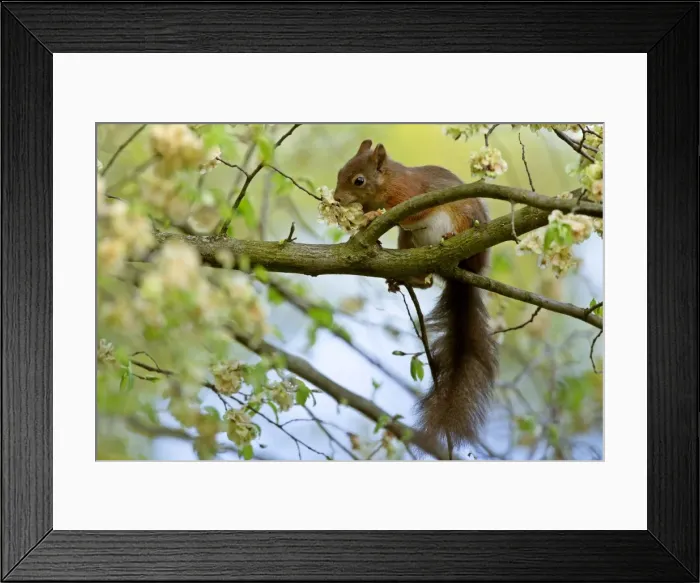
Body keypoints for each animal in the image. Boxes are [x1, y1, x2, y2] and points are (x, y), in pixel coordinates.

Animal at [333, 139, 498, 453]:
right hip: (408, 242)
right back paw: (406, 278)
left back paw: (451, 241)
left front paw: (372, 216)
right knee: (423, 281)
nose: (335, 200)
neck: (389, 182)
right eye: (339, 172)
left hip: (463, 225)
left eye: (359, 180)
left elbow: (410, 214)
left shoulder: (413, 195)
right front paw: (363, 224)